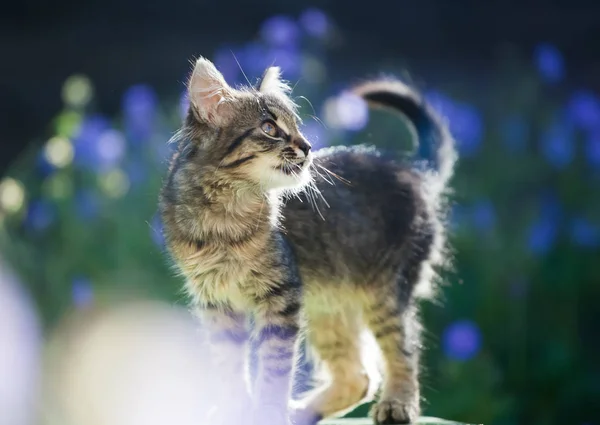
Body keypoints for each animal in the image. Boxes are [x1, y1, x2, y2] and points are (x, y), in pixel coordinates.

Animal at [158, 57, 454, 424]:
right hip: (327, 306)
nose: (308, 146)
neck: (224, 217)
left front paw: (268, 412)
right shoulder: (217, 301)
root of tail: (411, 170)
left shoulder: (282, 297)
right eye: (269, 128)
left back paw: (397, 404)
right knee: (358, 377)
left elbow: (274, 368)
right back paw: (302, 412)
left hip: (384, 290)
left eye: (296, 127)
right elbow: (230, 368)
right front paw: (236, 409)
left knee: (403, 350)